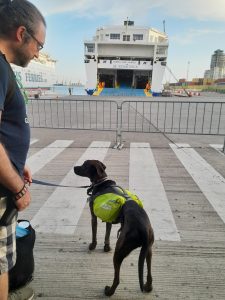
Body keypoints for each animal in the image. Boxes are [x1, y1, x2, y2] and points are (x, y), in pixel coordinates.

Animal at [74, 159, 155, 296]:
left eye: (84, 165)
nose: (74, 167)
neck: (101, 182)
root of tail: (143, 230)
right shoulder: (109, 220)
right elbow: (107, 234)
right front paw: (106, 247)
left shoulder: (93, 217)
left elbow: (94, 234)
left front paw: (92, 246)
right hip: (148, 249)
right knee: (149, 274)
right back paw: (147, 287)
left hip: (120, 250)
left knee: (117, 279)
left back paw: (109, 291)